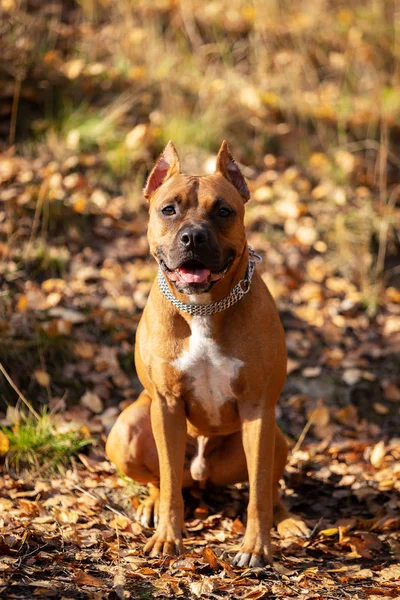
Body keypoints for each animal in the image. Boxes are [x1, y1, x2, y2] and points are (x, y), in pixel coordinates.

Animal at [106, 141, 310, 568]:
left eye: (224, 211)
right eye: (169, 210)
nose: (193, 237)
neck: (203, 307)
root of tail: (202, 477)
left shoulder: (257, 409)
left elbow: (258, 492)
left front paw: (257, 546)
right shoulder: (167, 405)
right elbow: (168, 483)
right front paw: (168, 537)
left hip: (277, 438)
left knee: (270, 486)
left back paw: (287, 520)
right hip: (128, 428)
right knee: (164, 480)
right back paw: (152, 505)